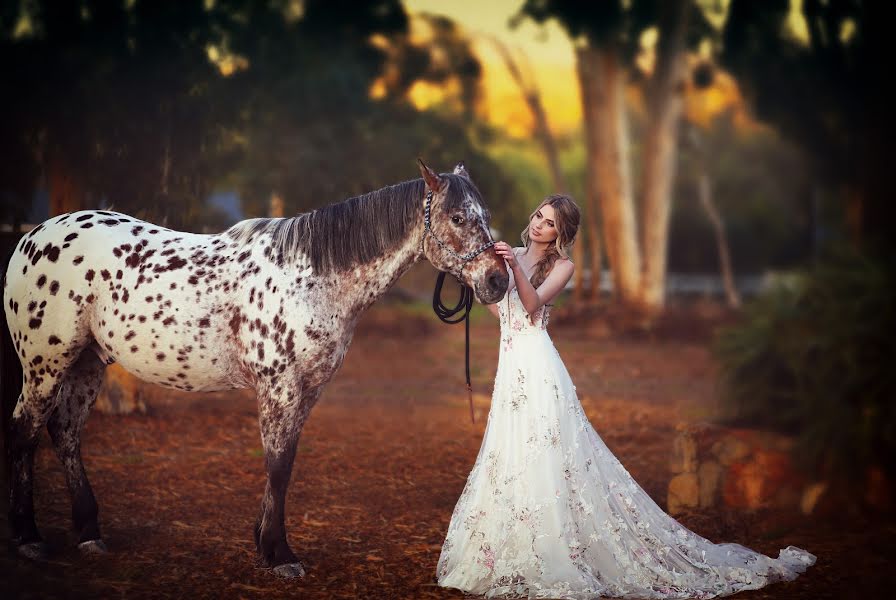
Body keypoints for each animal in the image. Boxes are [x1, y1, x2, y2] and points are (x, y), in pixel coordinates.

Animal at [0, 159, 508, 576]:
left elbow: (285, 463)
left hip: (86, 362)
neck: (310, 276)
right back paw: (28, 539)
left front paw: (264, 545)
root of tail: (33, 236)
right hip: (45, 362)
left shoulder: (308, 389)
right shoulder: (279, 385)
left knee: (65, 433)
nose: (497, 280)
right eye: (458, 218)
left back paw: (89, 534)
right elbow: (278, 464)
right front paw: (280, 555)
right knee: (25, 430)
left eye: (485, 215)